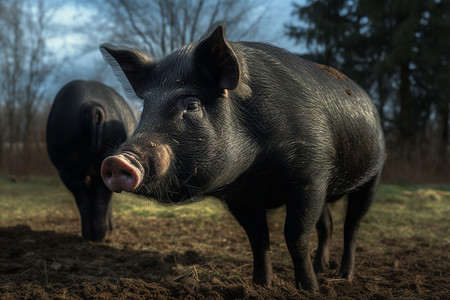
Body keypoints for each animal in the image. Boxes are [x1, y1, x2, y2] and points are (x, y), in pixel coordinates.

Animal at [47, 80, 137, 241]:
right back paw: (100, 235)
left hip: (65, 165)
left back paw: (88, 235)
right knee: (101, 198)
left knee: (83, 198)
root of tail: (91, 105)